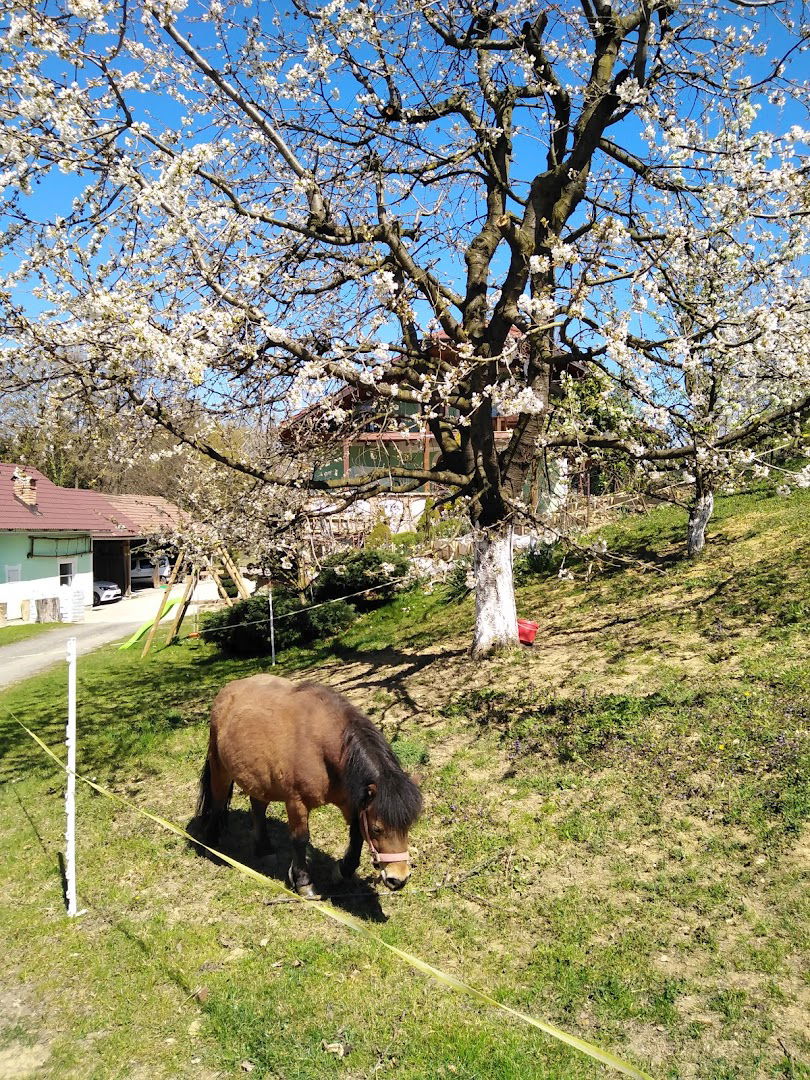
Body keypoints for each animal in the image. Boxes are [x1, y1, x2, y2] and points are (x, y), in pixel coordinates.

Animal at [197, 673, 425, 894]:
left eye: (407, 826)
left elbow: (357, 834)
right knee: (218, 801)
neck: (322, 747)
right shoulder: (296, 802)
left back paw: (264, 849)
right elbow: (300, 839)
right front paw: (303, 882)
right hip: (220, 769)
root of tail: (226, 692)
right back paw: (210, 842)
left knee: (258, 807)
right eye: (377, 829)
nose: (399, 879)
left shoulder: (353, 800)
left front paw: (343, 870)